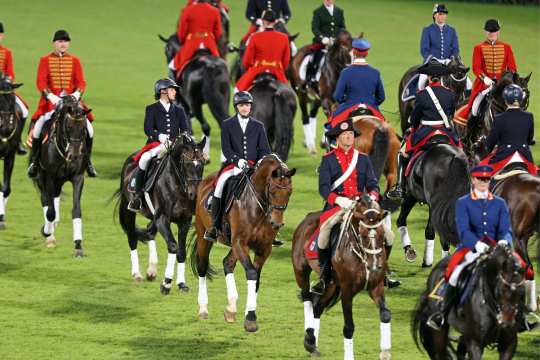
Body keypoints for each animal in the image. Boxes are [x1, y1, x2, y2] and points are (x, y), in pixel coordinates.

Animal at [30, 95, 91, 256]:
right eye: (68, 127)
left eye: (83, 129)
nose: (74, 156)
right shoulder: (49, 177)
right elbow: (49, 211)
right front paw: (46, 232)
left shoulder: (78, 178)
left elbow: (76, 210)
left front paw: (78, 245)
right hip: (42, 179)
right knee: (46, 201)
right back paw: (49, 234)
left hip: (58, 182)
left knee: (54, 198)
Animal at [115, 134, 205, 294]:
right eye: (186, 163)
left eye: (202, 164)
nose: (193, 195)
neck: (176, 185)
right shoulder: (163, 219)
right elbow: (173, 246)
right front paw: (166, 283)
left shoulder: (185, 221)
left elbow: (181, 251)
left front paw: (181, 284)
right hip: (128, 210)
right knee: (132, 238)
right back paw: (137, 274)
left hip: (153, 217)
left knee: (150, 231)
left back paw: (151, 270)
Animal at [190, 152, 296, 332]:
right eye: (273, 191)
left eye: (289, 192)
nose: (276, 224)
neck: (256, 206)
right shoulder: (240, 243)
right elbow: (252, 273)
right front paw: (251, 318)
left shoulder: (263, 248)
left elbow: (256, 279)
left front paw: (249, 313)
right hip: (204, 233)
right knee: (202, 267)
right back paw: (203, 308)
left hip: (234, 245)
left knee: (227, 263)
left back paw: (231, 308)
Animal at [292, 195, 392, 358]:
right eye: (363, 235)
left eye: (382, 234)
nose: (375, 266)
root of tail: (308, 218)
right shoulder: (347, 291)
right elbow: (349, 327)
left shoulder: (376, 286)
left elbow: (385, 314)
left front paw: (385, 353)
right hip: (301, 272)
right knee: (307, 297)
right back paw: (310, 338)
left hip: (331, 284)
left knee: (318, 307)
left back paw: (312, 344)